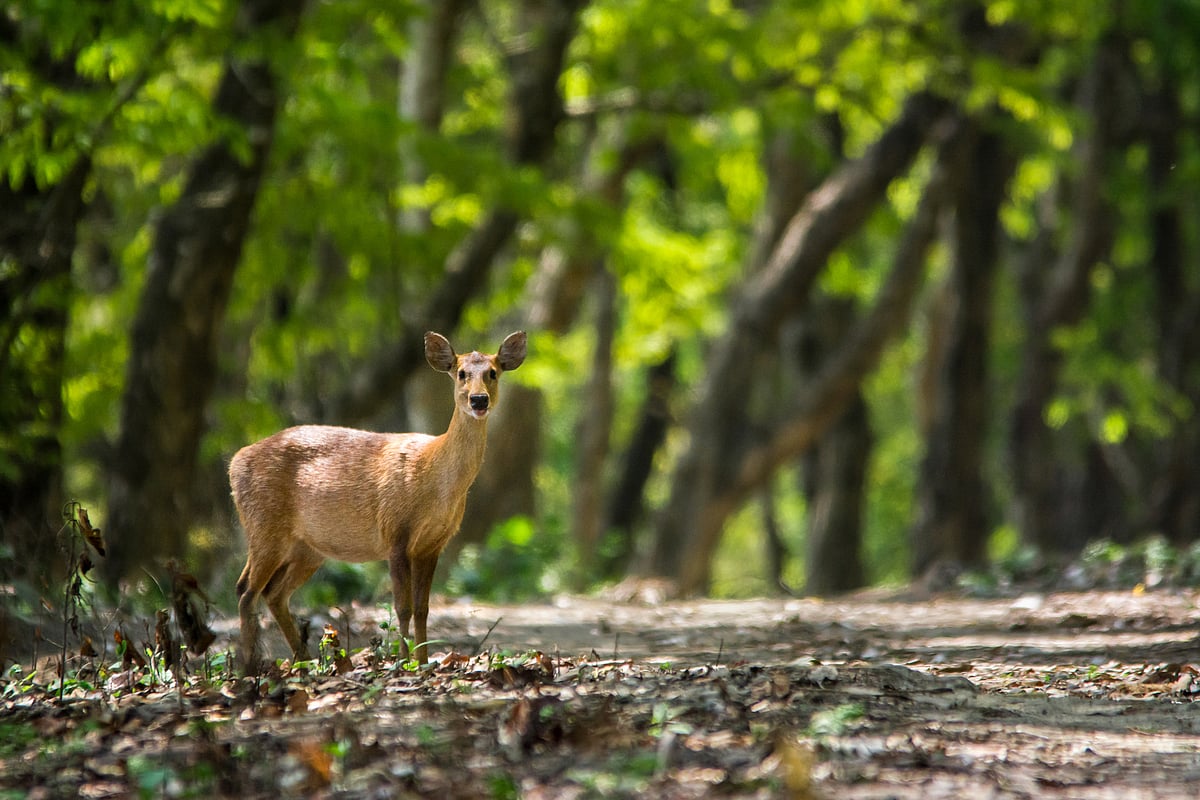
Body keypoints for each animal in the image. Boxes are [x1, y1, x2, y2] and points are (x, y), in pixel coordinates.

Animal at [230, 330, 527, 674]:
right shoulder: (395, 531)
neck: (432, 473)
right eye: (461, 372)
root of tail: (235, 462)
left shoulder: (433, 544)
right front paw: (403, 662)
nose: (479, 400)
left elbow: (423, 607)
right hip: (264, 525)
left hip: (307, 548)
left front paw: (423, 661)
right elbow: (402, 607)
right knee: (246, 590)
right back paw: (251, 669)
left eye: (493, 372)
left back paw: (304, 662)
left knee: (272, 593)